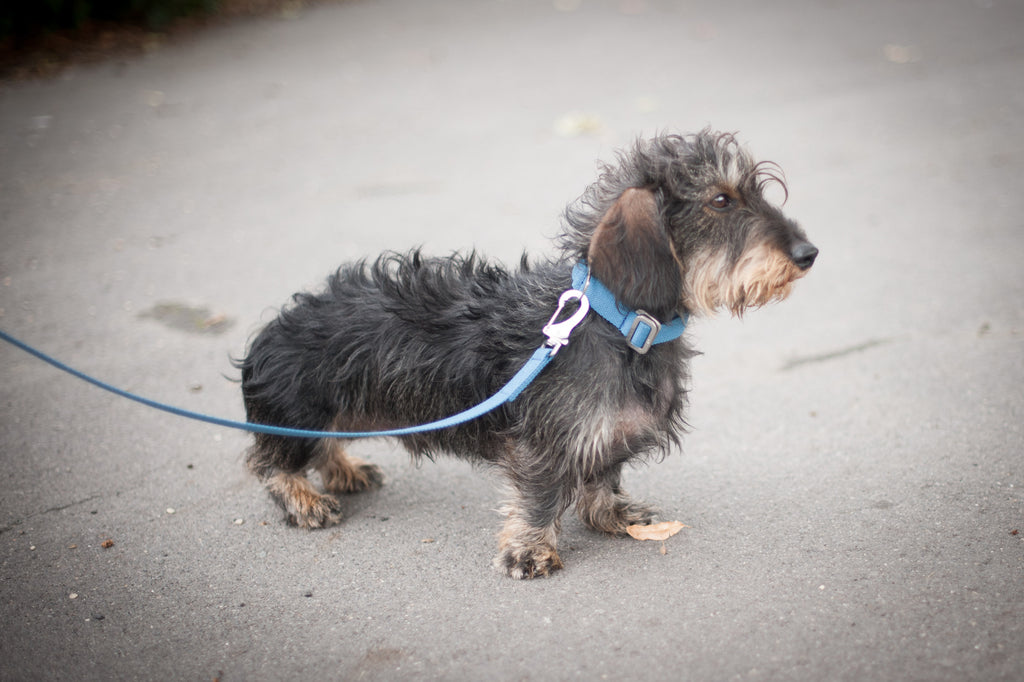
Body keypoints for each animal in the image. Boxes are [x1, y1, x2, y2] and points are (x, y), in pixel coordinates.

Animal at [234, 130, 815, 577]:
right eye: (720, 200)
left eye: (755, 190)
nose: (809, 253)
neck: (617, 325)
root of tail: (276, 327)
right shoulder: (542, 440)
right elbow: (539, 493)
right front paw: (530, 550)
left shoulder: (605, 435)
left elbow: (601, 477)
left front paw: (615, 514)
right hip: (301, 407)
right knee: (271, 461)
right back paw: (304, 498)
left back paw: (344, 469)